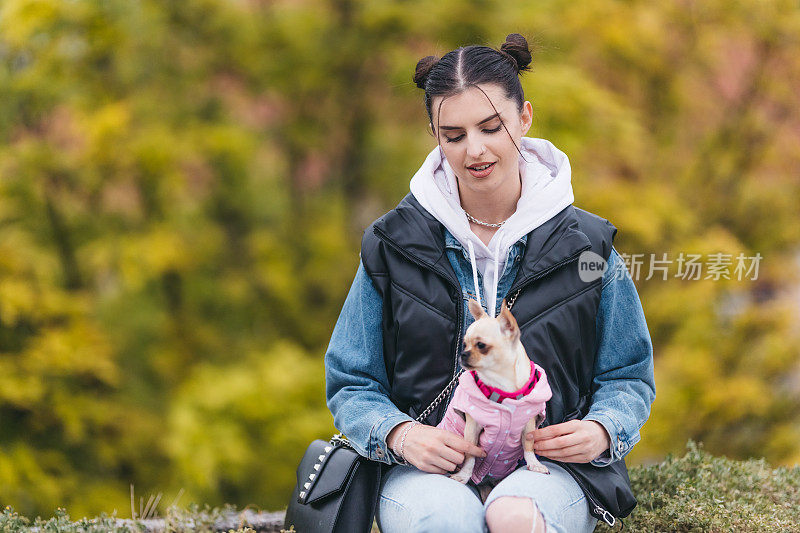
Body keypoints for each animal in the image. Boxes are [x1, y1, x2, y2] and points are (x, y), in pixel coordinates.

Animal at [438, 298, 552, 496]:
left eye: (481, 345)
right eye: (464, 344)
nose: (463, 354)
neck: (503, 385)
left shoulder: (528, 424)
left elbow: (528, 445)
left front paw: (534, 464)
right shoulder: (472, 427)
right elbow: (470, 455)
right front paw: (463, 475)